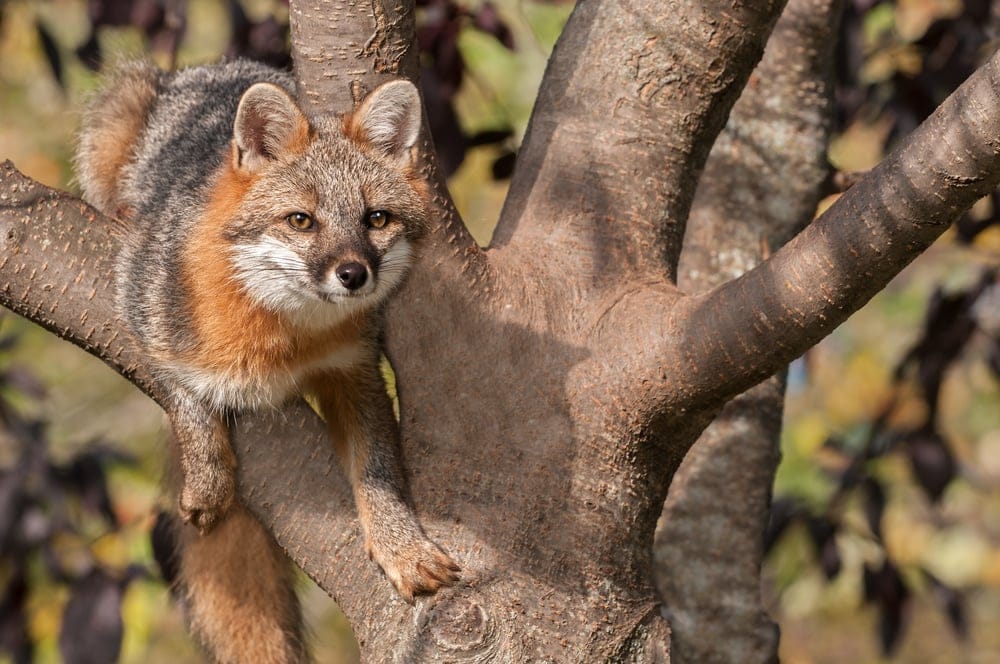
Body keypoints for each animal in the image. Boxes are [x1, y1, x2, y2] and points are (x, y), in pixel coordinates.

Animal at [75, 59, 459, 662]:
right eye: (301, 221)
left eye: (376, 219)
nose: (354, 274)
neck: (282, 338)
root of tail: (220, 66)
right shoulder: (136, 310)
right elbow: (187, 400)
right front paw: (209, 482)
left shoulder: (355, 370)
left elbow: (378, 472)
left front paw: (402, 548)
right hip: (116, 107)